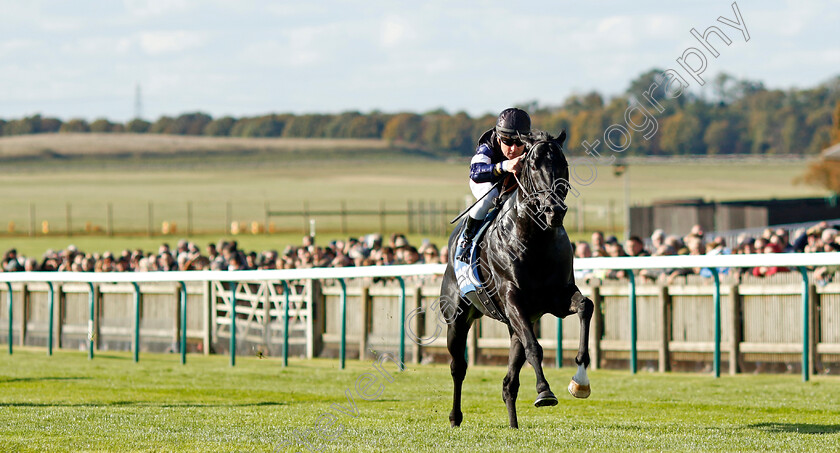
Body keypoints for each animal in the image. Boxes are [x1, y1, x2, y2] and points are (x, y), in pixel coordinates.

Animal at [440, 130, 592, 428]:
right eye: (533, 165)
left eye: (563, 163)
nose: (554, 210)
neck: (535, 237)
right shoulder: (512, 299)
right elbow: (535, 347)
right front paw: (544, 391)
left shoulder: (556, 298)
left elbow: (585, 306)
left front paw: (580, 378)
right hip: (457, 318)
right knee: (458, 367)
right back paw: (454, 417)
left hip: (515, 325)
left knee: (508, 382)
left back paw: (513, 424)